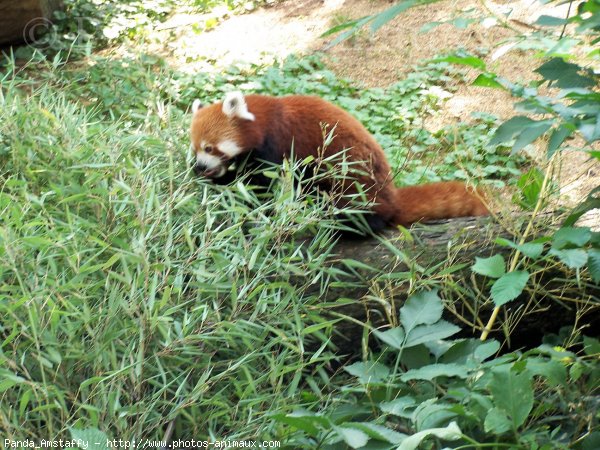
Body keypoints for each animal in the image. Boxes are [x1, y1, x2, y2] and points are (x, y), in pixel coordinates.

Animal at [190, 91, 490, 232]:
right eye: (195, 149)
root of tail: (392, 197)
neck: (263, 118)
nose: (199, 166)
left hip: (353, 180)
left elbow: (261, 184)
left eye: (210, 147)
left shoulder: (276, 145)